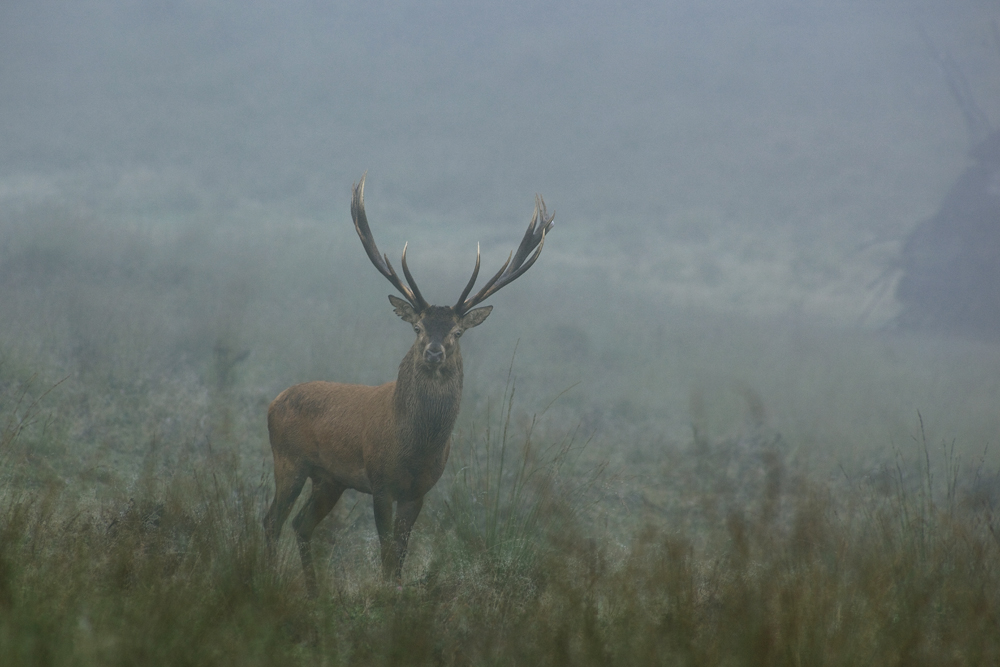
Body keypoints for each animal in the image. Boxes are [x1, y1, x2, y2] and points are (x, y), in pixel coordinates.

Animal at [262, 172, 556, 596]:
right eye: (417, 327)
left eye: (456, 333)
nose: (434, 352)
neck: (416, 446)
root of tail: (273, 402)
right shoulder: (381, 481)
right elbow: (387, 550)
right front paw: (386, 590)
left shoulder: (420, 490)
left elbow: (401, 551)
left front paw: (397, 588)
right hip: (288, 459)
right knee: (272, 521)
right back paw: (267, 579)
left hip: (329, 480)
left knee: (301, 524)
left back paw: (315, 590)